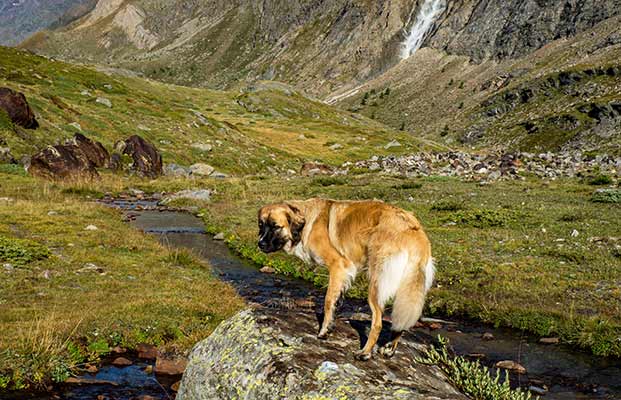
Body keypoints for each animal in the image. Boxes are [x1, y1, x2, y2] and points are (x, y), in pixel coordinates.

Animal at [256, 198, 432, 360]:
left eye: (276, 226)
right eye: (261, 225)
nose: (260, 244)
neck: (306, 223)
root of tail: (413, 231)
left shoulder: (339, 266)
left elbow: (328, 301)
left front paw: (324, 331)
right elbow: (335, 301)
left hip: (376, 283)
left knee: (377, 323)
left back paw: (365, 353)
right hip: (405, 287)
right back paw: (389, 349)